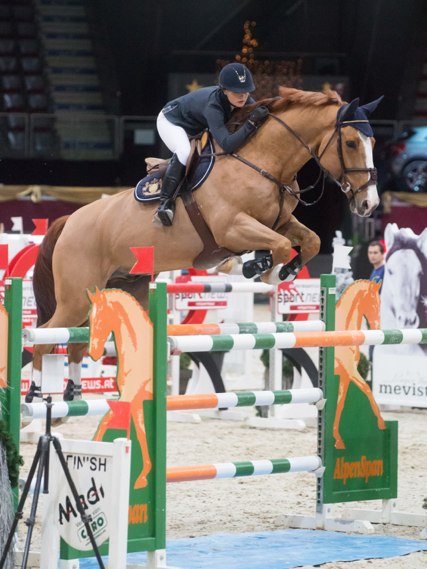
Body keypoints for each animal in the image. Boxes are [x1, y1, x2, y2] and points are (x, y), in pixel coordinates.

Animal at [29, 89, 382, 398]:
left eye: (374, 142)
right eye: (351, 142)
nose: (370, 204)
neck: (263, 163)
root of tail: (69, 221)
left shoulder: (279, 222)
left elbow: (310, 241)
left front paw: (285, 270)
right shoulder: (232, 228)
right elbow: (280, 246)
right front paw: (260, 268)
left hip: (125, 287)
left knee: (78, 341)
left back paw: (76, 397)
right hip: (77, 297)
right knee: (45, 335)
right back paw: (35, 392)